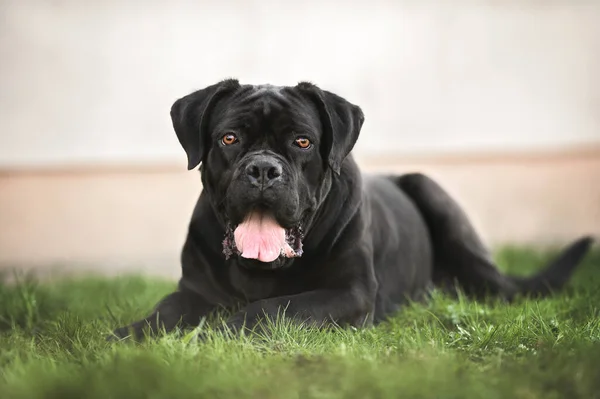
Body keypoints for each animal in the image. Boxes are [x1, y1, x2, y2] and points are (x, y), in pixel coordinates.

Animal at [110, 80, 592, 340]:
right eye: (229, 138)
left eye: (302, 141)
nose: (264, 169)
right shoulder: (196, 290)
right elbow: (163, 313)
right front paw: (126, 336)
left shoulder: (349, 293)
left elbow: (271, 308)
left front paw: (216, 332)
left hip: (434, 195)